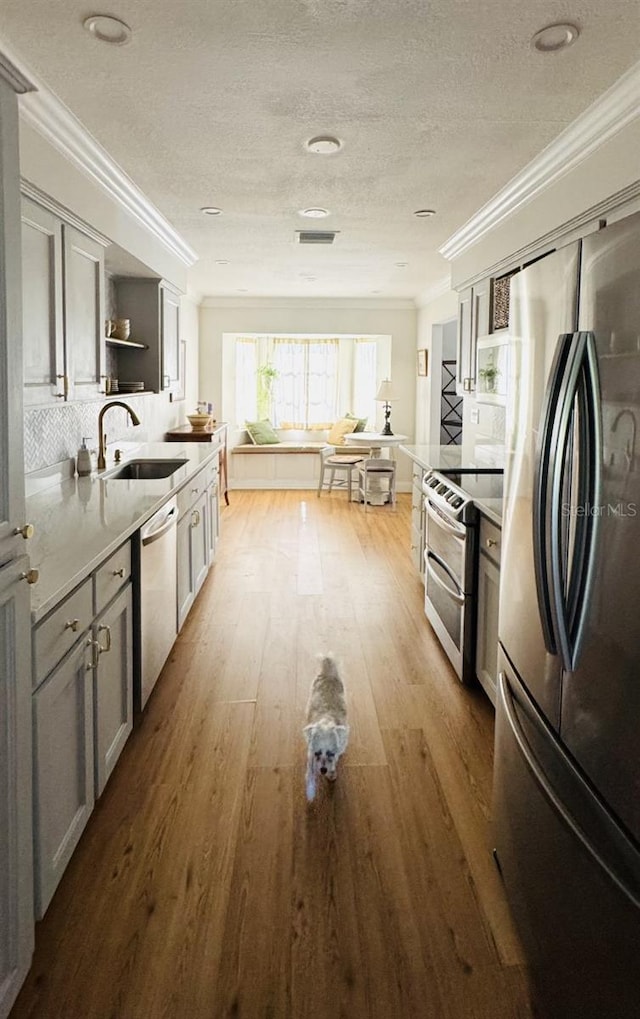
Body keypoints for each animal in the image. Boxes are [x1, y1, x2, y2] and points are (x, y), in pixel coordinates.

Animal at [305, 652, 350, 802]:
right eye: (317, 753)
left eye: (331, 753)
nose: (323, 770)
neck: (326, 720)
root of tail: (328, 672)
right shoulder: (310, 751)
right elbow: (310, 769)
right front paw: (310, 791)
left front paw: (331, 773)